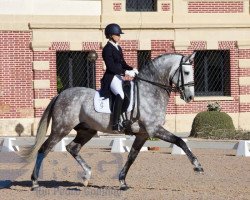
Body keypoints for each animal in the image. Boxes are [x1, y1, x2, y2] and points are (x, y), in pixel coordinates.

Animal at [22, 52, 203, 191]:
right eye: (187, 72)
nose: (190, 97)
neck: (150, 91)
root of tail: (60, 95)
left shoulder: (143, 134)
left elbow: (132, 156)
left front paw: (122, 181)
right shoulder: (154, 129)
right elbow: (180, 141)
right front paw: (197, 166)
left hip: (87, 130)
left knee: (72, 148)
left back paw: (87, 175)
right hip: (61, 129)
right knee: (43, 149)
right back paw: (35, 182)